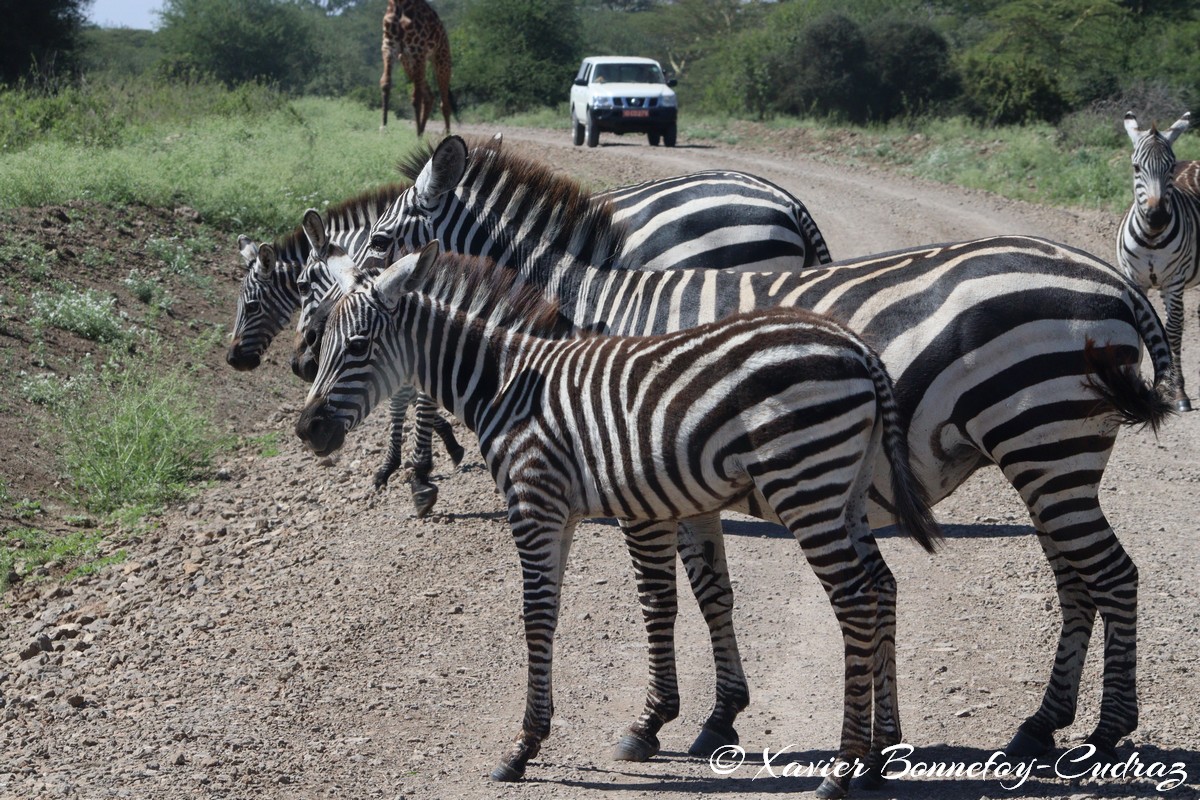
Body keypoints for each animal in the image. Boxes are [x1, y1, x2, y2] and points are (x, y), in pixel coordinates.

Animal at [295, 242, 940, 796]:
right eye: (323, 345)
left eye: (357, 347)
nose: (307, 430)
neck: (506, 379)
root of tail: (856, 347)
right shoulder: (579, 510)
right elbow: (579, 611)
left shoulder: (535, 502)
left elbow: (538, 616)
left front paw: (523, 747)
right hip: (843, 492)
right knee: (881, 588)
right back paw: (881, 757)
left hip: (805, 484)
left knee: (855, 602)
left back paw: (842, 770)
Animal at [350, 136, 1176, 762]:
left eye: (381, 244)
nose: (330, 324)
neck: (589, 319)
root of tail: (1115, 284)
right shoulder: (679, 478)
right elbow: (711, 590)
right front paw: (716, 716)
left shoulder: (639, 474)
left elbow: (660, 597)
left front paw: (651, 722)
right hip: (1051, 454)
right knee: (1078, 582)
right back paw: (1040, 727)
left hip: (1045, 444)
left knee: (1113, 575)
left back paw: (1106, 733)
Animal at [381, 0, 451, 136]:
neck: (399, 4)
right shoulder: (389, 45)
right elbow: (385, 83)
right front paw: (383, 128)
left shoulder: (417, 49)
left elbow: (416, 96)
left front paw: (417, 136)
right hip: (407, 61)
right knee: (429, 96)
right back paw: (422, 132)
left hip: (441, 59)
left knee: (444, 103)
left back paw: (446, 134)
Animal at [1113, 110, 1200, 412]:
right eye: (1136, 168)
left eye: (1170, 167)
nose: (1157, 217)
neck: (1151, 238)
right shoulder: (1135, 279)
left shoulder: (1174, 282)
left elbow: (1173, 331)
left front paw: (1179, 392)